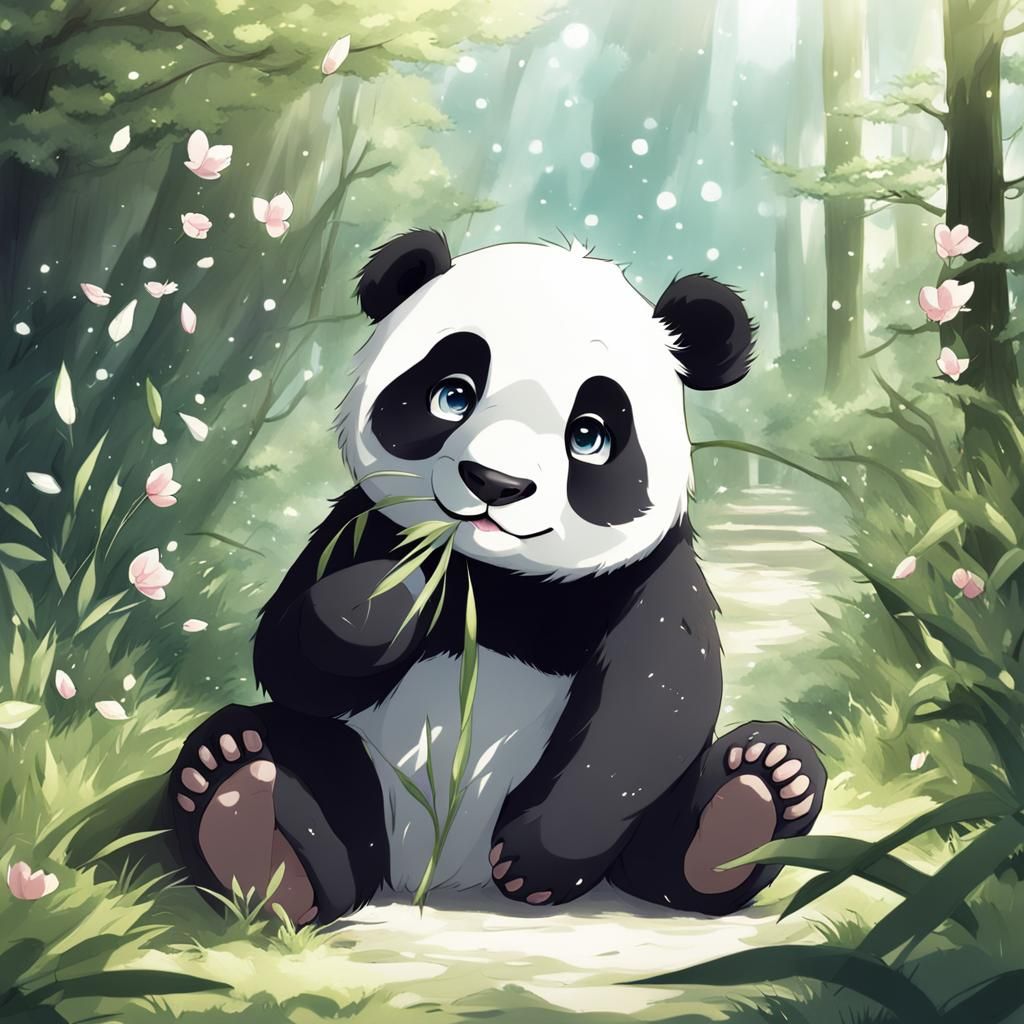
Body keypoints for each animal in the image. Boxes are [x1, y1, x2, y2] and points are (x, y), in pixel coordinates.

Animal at [169, 230, 826, 925]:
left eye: (589, 436)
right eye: (452, 395)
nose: (496, 484)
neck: (499, 581)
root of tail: (437, 876)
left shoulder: (645, 573)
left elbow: (656, 698)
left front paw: (536, 859)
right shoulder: (358, 526)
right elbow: (291, 655)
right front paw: (386, 604)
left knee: (676, 847)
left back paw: (754, 796)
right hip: (364, 777)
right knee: (302, 764)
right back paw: (246, 813)